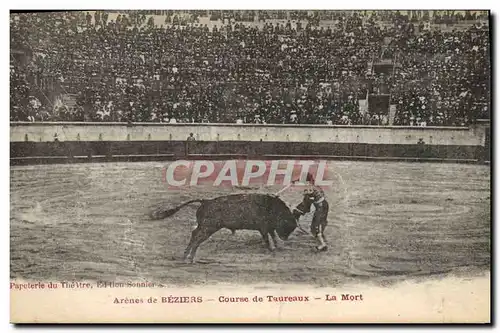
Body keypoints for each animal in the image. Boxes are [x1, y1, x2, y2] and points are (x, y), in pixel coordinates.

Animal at [148, 192, 304, 262]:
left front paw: (277, 246)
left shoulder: (269, 228)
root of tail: (205, 201)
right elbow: (267, 239)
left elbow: (273, 237)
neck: (271, 207)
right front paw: (271, 249)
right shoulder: (263, 228)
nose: (285, 238)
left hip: (205, 227)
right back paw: (190, 257)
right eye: (288, 225)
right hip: (208, 228)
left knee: (194, 234)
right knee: (197, 237)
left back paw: (187, 255)